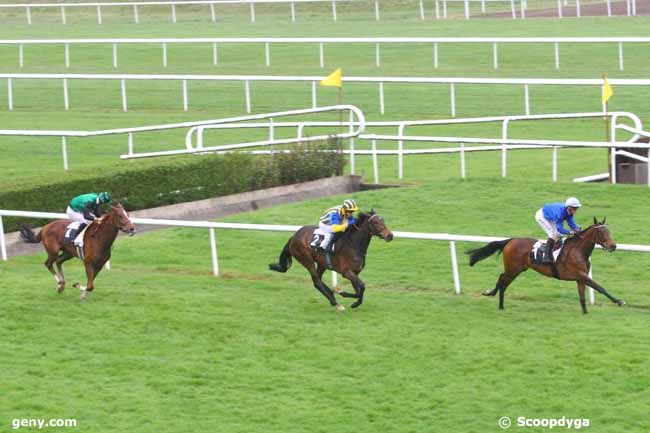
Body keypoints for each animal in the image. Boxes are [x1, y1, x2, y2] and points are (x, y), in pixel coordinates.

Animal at [466, 218, 624, 312]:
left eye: (609, 230)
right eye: (601, 232)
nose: (613, 246)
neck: (578, 251)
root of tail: (511, 240)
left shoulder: (580, 278)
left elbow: (582, 296)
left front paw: (585, 313)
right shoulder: (581, 275)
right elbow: (600, 288)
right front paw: (619, 301)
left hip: (517, 269)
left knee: (503, 281)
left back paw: (499, 303)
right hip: (513, 268)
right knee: (502, 279)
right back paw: (494, 298)